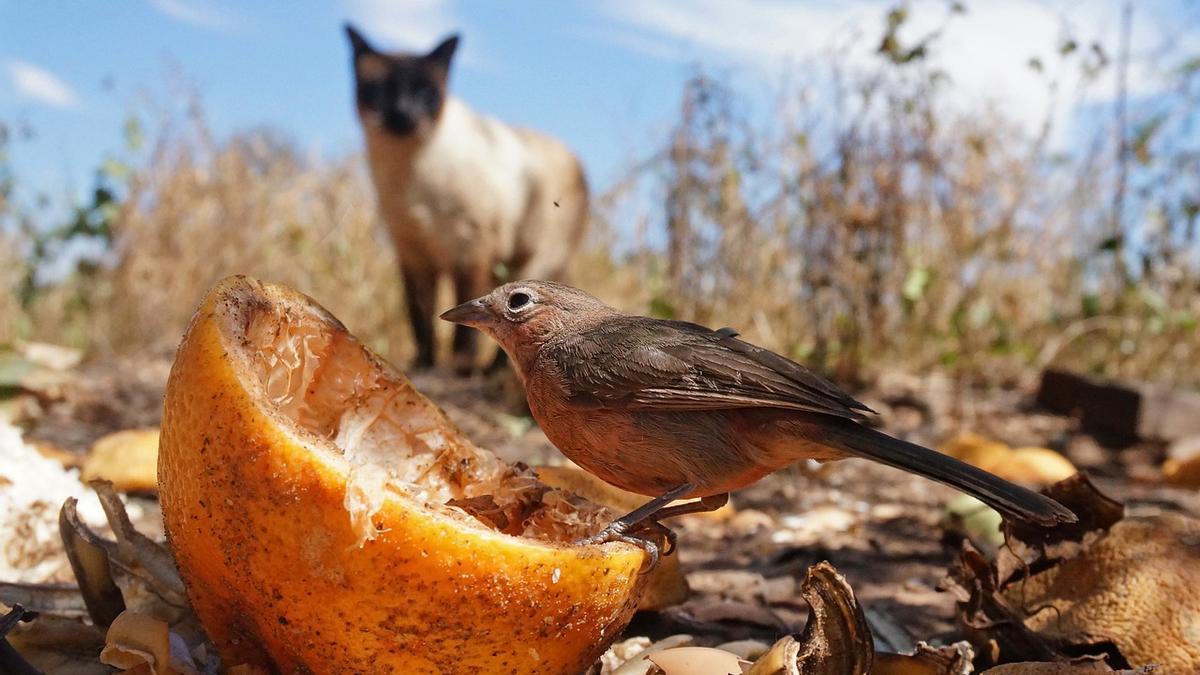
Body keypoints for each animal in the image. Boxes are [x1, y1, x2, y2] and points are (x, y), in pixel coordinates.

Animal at [345, 24, 588, 372]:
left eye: (425, 94)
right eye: (379, 91)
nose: (404, 114)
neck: (409, 170)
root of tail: (576, 159)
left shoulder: (469, 250)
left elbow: (464, 324)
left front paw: (458, 365)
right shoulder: (413, 253)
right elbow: (419, 316)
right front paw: (424, 363)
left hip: (536, 257)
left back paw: (491, 370)